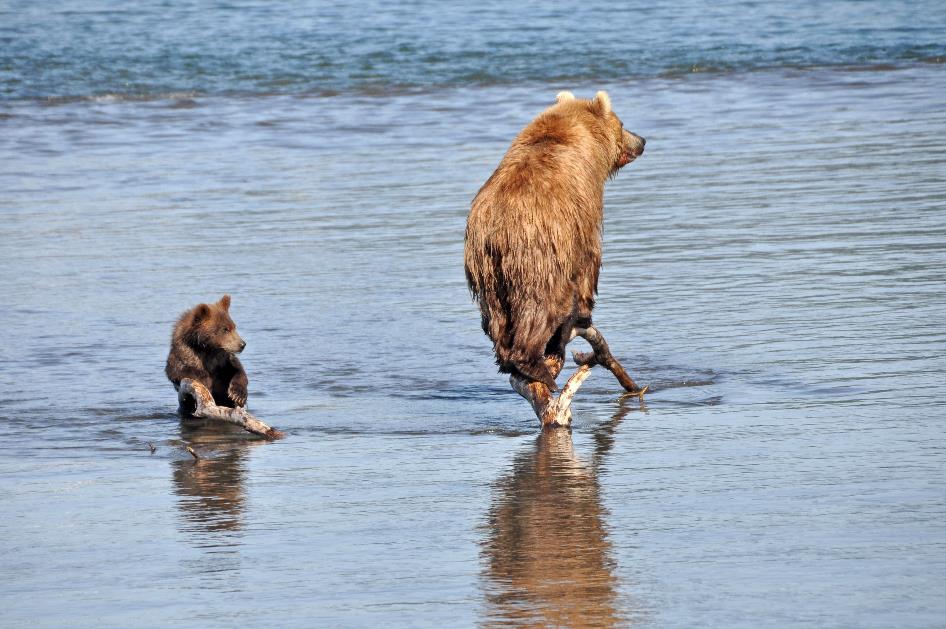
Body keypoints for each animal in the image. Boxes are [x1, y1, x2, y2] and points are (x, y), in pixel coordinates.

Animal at [462, 91, 640, 400]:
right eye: (622, 123)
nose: (641, 140)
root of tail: (497, 231)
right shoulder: (582, 210)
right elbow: (589, 259)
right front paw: (583, 315)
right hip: (537, 255)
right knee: (542, 305)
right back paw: (536, 365)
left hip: (486, 270)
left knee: (496, 316)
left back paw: (507, 362)